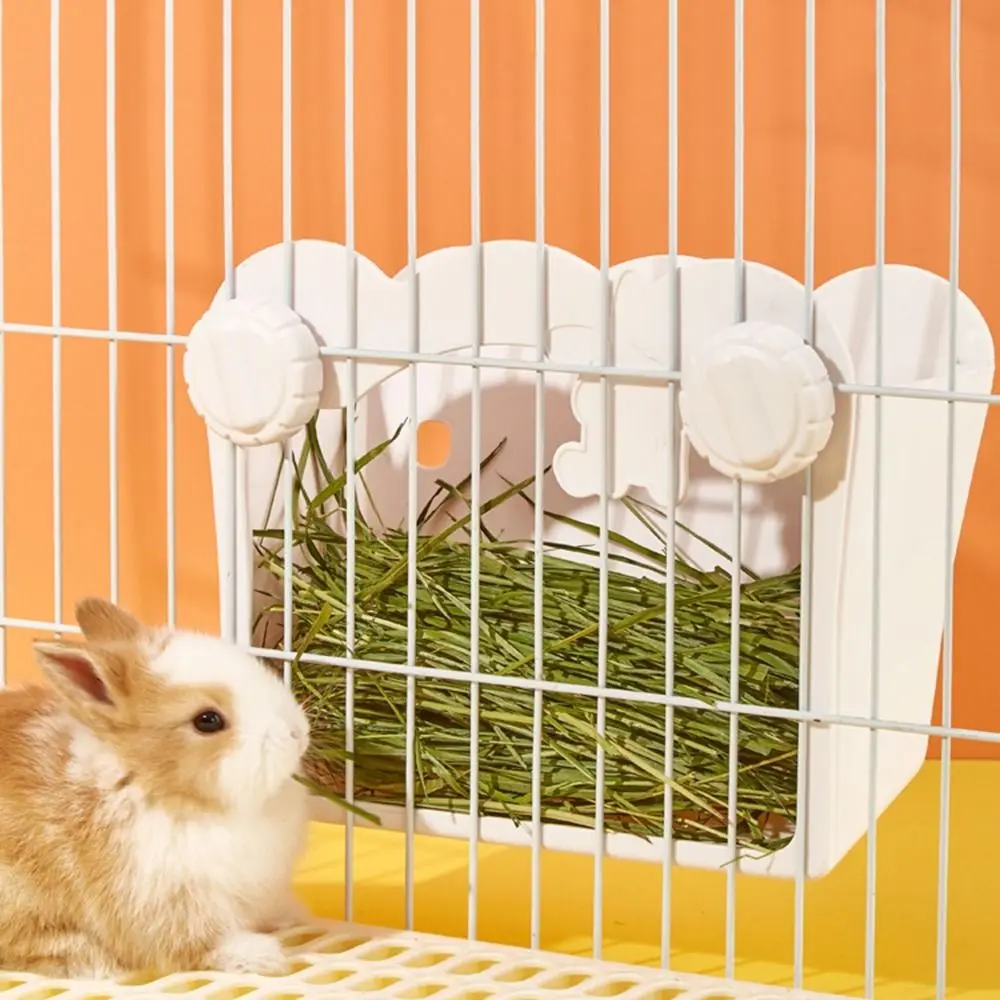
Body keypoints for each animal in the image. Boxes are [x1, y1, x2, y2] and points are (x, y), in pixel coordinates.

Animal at [0, 596, 313, 980]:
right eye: (208, 720)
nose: (298, 733)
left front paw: (292, 917)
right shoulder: (160, 898)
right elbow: (193, 944)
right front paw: (259, 956)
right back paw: (89, 962)